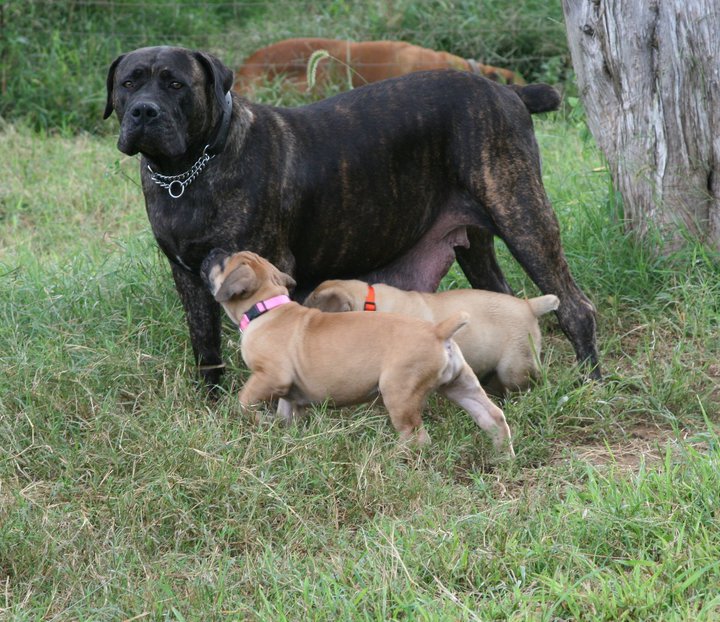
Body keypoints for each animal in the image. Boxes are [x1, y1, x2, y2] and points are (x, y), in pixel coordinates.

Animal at [200, 249, 516, 458]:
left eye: (223, 262)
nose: (211, 252)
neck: (267, 306)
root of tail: (439, 331)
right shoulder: (289, 395)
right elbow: (286, 414)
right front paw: (280, 431)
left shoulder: (270, 377)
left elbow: (244, 401)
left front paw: (257, 421)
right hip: (461, 385)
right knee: (493, 418)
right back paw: (503, 457)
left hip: (399, 393)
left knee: (416, 436)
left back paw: (393, 458)